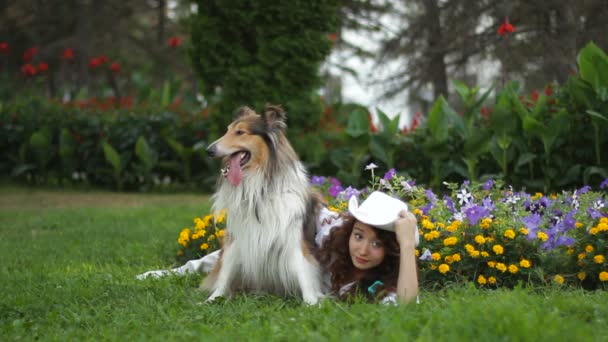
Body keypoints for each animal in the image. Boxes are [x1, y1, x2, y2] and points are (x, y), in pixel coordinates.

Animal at [202, 104, 324, 304]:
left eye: (240, 132)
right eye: (227, 130)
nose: (209, 151)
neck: (259, 189)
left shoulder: (294, 239)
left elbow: (304, 272)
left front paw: (312, 302)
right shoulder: (238, 237)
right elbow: (225, 274)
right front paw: (212, 299)